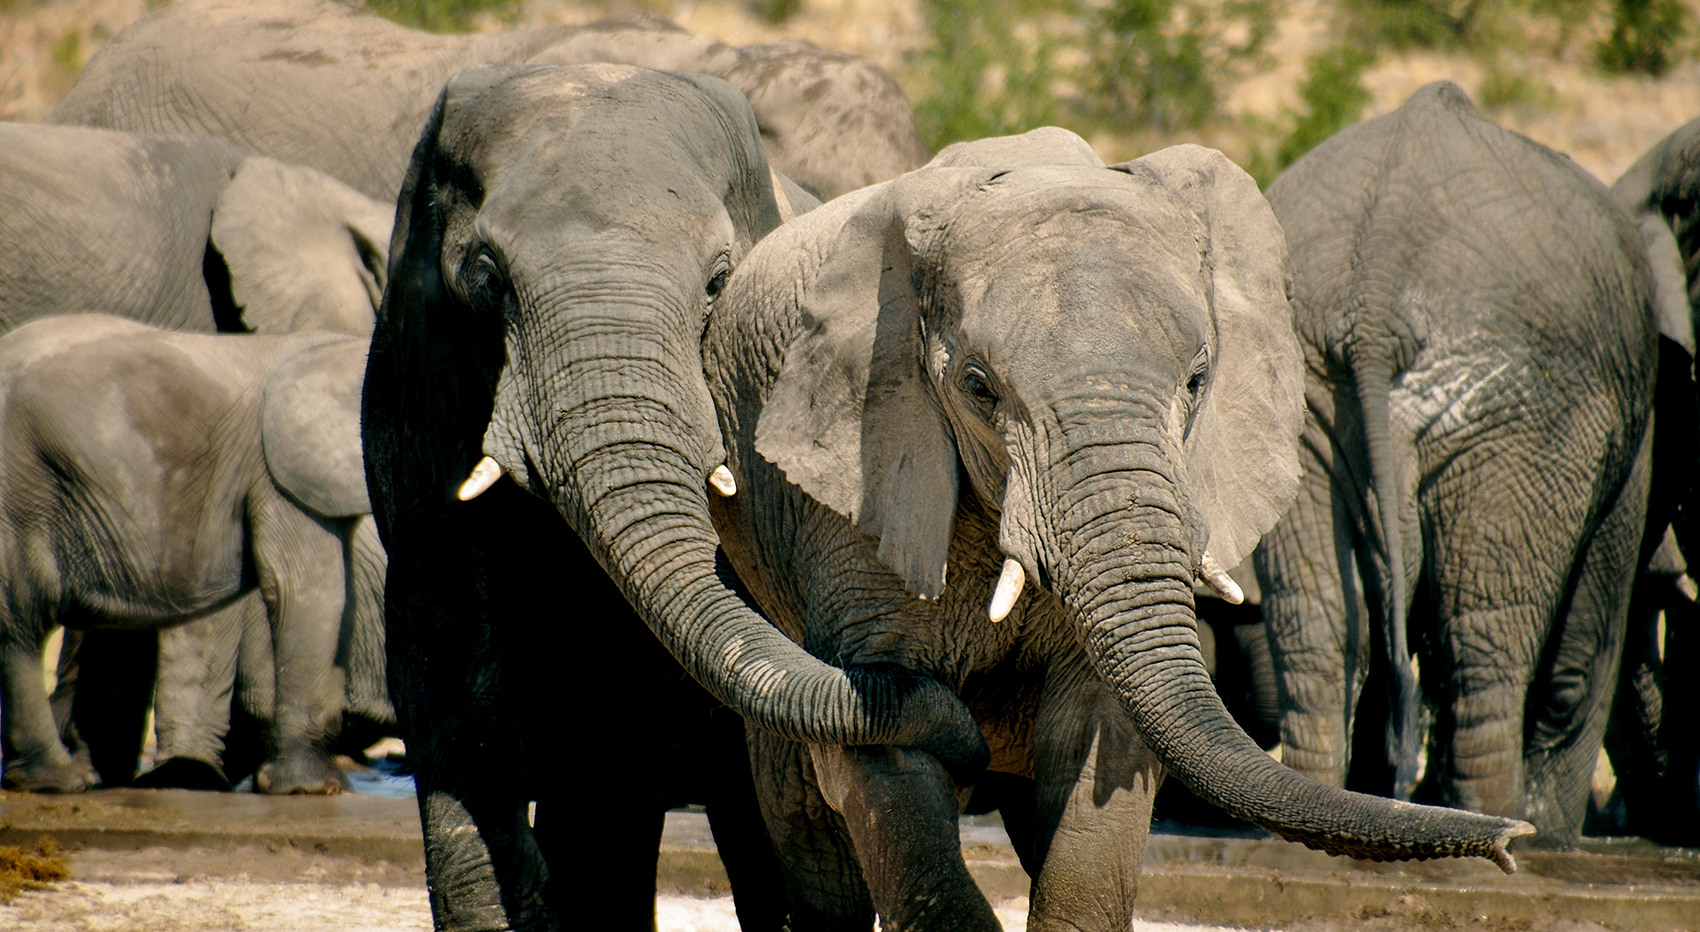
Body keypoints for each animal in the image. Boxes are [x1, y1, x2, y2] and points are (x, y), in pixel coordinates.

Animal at [0, 315, 378, 796]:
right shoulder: (278, 475)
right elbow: (309, 591)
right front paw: (314, 789)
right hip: (21, 489)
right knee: (21, 624)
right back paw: (65, 781)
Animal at [693, 127, 1534, 930]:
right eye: (977, 387)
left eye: (1197, 379)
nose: (1513, 842)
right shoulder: (863, 484)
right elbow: (882, 753)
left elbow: (1098, 746)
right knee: (806, 816)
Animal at [1252, 82, 1659, 848]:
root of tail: (1374, 294)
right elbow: (1586, 643)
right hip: (1525, 413)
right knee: (1488, 630)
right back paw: (1505, 829)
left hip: (1298, 399)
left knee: (1320, 624)